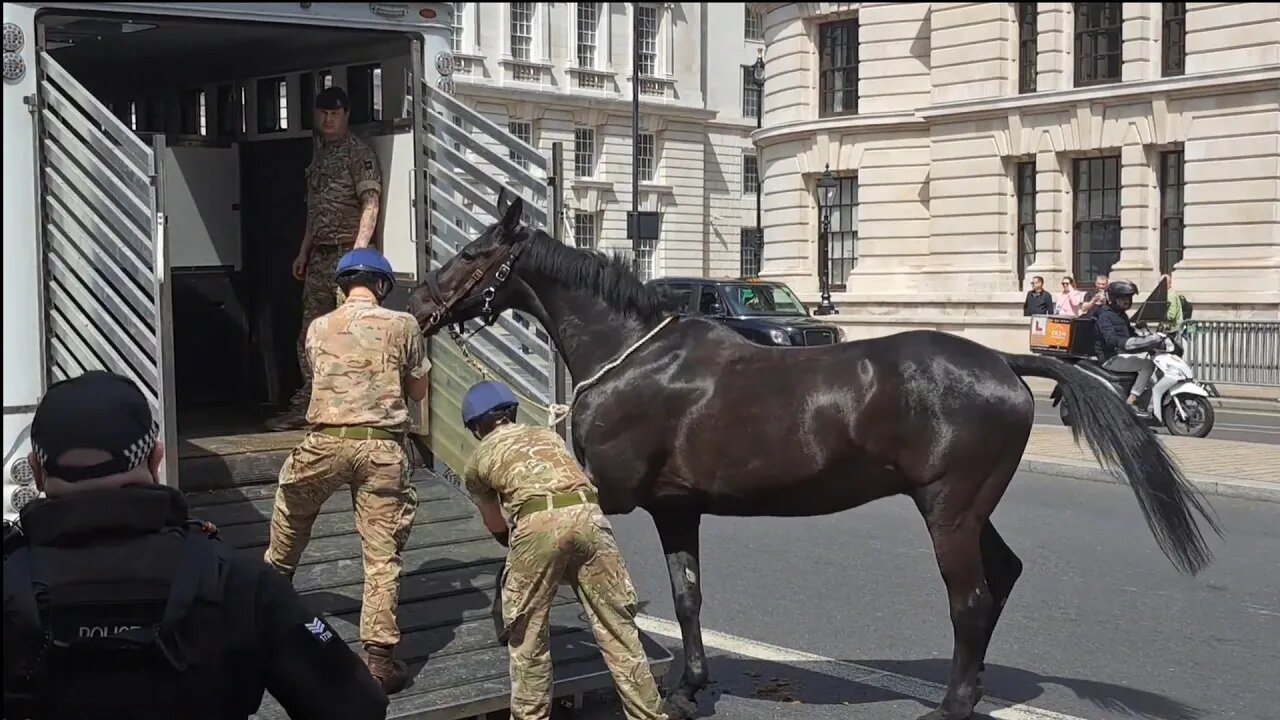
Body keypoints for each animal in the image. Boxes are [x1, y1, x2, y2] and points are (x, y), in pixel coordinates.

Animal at [407, 192, 1218, 717]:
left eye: (473, 252)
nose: (415, 302)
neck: (635, 356)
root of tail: (1002, 362)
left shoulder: (604, 492)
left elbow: (544, 559)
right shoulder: (675, 508)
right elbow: (687, 593)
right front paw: (688, 685)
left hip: (949, 513)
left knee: (971, 598)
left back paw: (953, 702)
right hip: (966, 507)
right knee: (1002, 576)